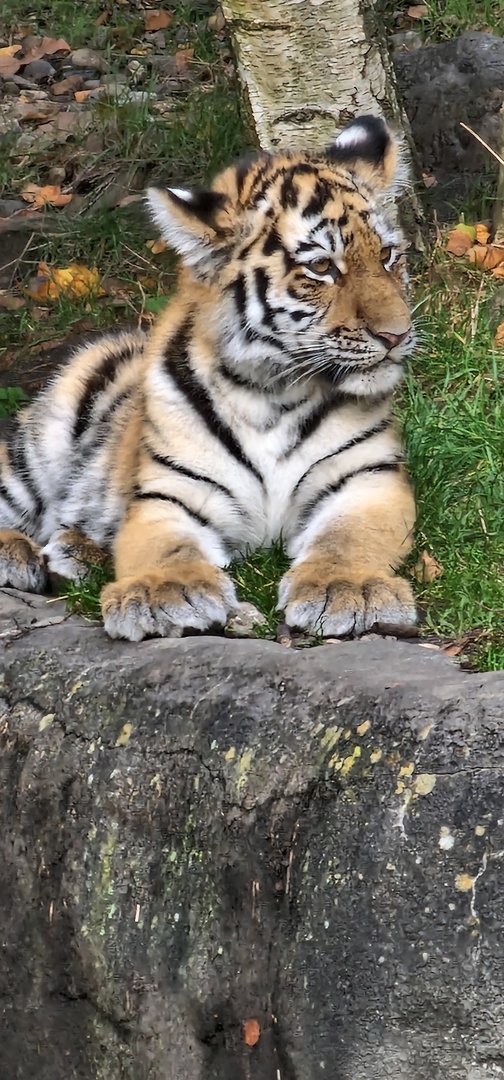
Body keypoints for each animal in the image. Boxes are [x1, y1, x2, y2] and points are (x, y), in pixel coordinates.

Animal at [0, 114, 417, 642]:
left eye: (387, 256)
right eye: (321, 266)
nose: (397, 334)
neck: (272, 393)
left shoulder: (368, 479)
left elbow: (350, 539)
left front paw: (348, 588)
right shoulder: (170, 493)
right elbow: (164, 547)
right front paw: (164, 594)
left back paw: (76, 552)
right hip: (43, 441)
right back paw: (18, 554)